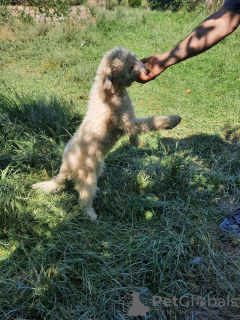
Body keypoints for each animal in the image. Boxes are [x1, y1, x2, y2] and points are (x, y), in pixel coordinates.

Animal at [32, 47, 181, 220]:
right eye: (130, 66)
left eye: (136, 59)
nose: (148, 70)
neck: (112, 92)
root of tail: (65, 167)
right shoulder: (128, 122)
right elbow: (151, 122)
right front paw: (173, 120)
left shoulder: (129, 119)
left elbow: (135, 133)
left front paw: (135, 142)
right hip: (87, 175)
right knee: (83, 198)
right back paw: (91, 215)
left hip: (98, 166)